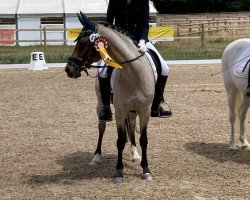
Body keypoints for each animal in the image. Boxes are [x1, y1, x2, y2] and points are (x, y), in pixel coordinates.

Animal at [64, 12, 155, 184]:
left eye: (84, 43)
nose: (69, 69)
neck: (133, 73)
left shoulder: (144, 111)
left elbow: (144, 140)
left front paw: (146, 170)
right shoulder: (119, 110)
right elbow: (120, 140)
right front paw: (118, 172)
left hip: (132, 111)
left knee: (131, 126)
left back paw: (135, 153)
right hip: (101, 105)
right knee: (101, 127)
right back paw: (96, 157)